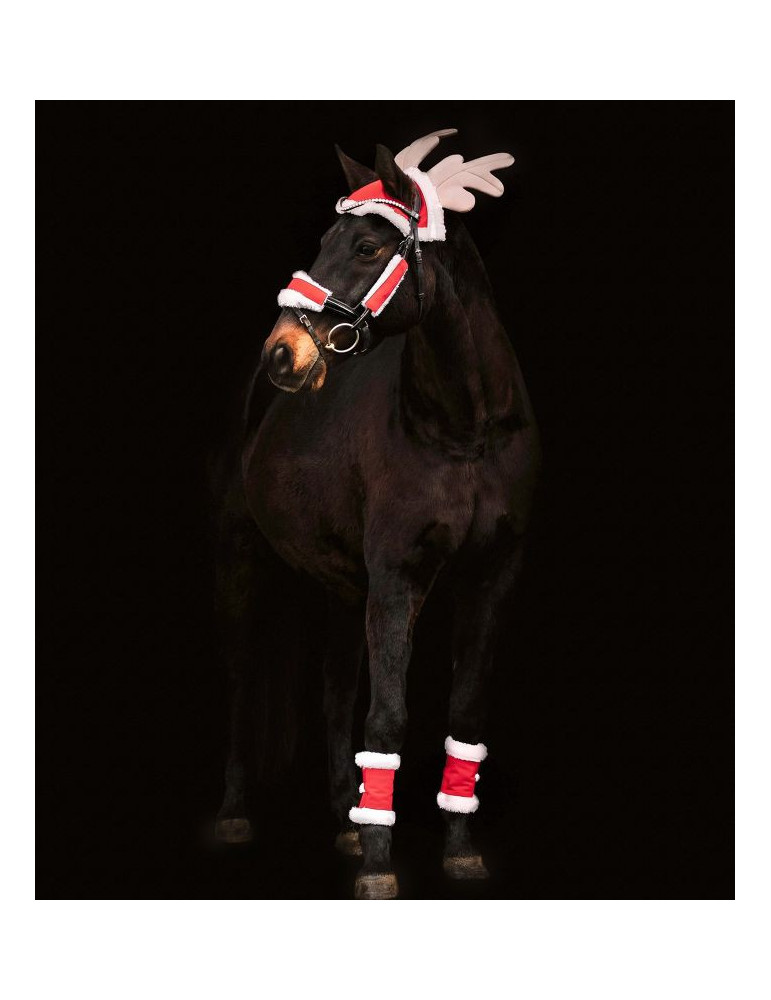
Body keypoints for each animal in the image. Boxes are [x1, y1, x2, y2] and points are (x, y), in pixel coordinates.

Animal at [213, 129, 540, 899]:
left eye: (366, 247)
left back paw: (342, 816)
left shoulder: (492, 577)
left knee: (335, 688)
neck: (464, 431)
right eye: (323, 240)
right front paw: (378, 867)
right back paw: (238, 814)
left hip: (342, 585)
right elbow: (387, 717)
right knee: (242, 682)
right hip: (245, 557)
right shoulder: (396, 579)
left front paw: (458, 850)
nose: (283, 353)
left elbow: (464, 711)